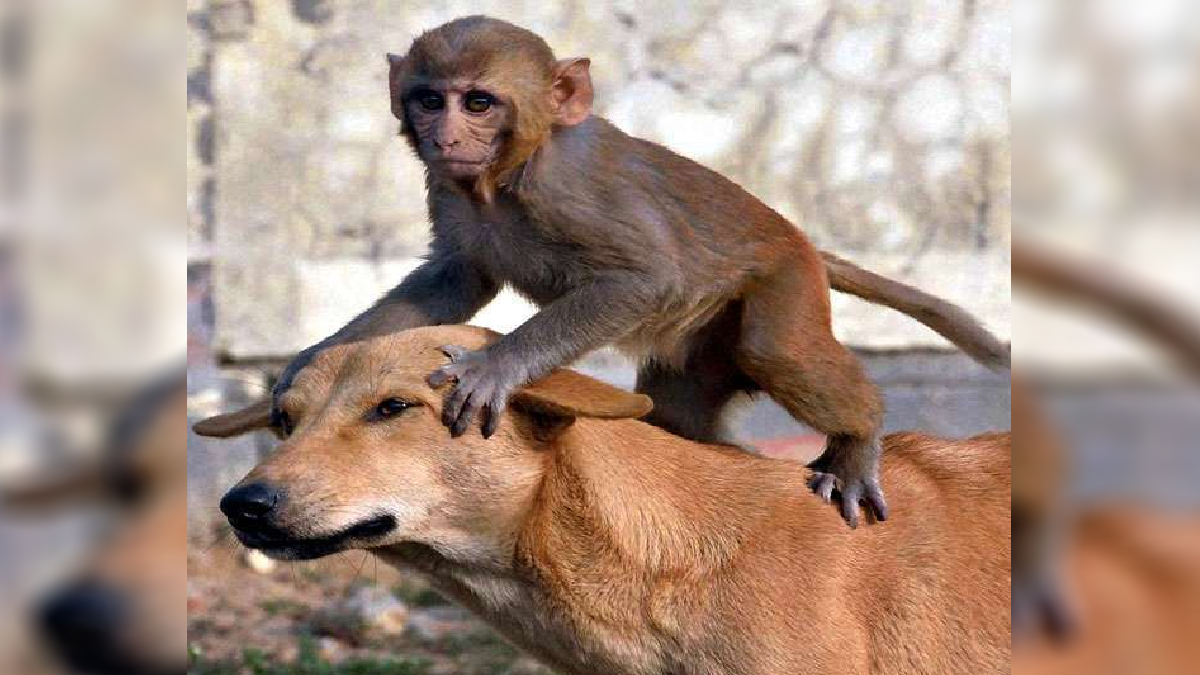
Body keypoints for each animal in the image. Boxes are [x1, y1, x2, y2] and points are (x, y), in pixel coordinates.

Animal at [271, 16, 1009, 527]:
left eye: (478, 102)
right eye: (430, 99)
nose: (445, 135)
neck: (505, 175)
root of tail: (802, 241)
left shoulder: (568, 190)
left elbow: (644, 277)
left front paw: (497, 367)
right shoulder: (449, 189)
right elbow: (453, 281)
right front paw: (314, 357)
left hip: (787, 282)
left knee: (775, 350)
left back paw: (858, 439)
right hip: (704, 345)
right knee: (682, 408)